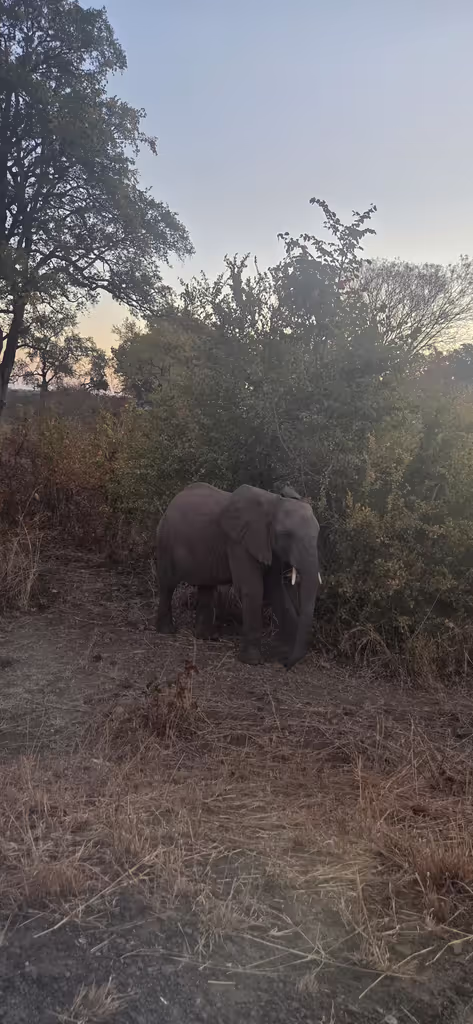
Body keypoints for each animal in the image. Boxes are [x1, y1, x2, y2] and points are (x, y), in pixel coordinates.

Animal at [155, 482, 320, 669]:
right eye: (286, 534)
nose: (286, 664)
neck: (274, 502)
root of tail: (172, 502)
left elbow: (276, 589)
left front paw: (282, 653)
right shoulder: (239, 542)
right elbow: (253, 589)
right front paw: (253, 661)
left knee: (206, 586)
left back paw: (206, 636)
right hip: (166, 540)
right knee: (168, 584)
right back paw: (167, 631)